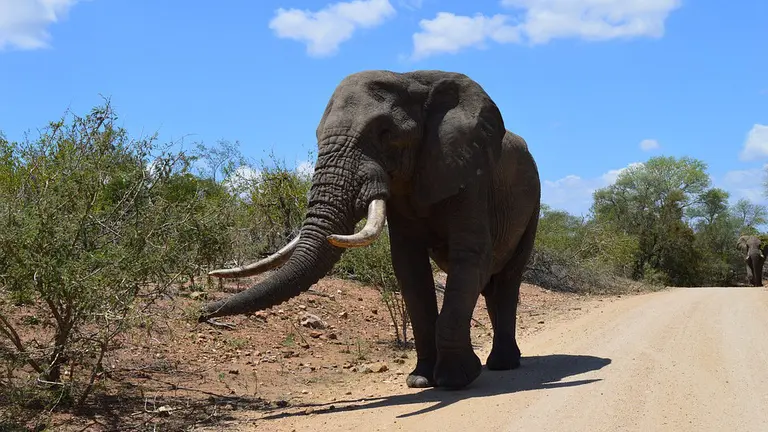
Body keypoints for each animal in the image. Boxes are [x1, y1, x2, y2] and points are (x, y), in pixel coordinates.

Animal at [199, 70, 541, 390]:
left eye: (385, 133)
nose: (202, 313)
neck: (412, 81)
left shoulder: (469, 176)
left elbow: (470, 258)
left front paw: (454, 380)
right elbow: (409, 269)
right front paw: (420, 380)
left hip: (533, 202)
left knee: (506, 280)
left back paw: (502, 364)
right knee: (491, 286)